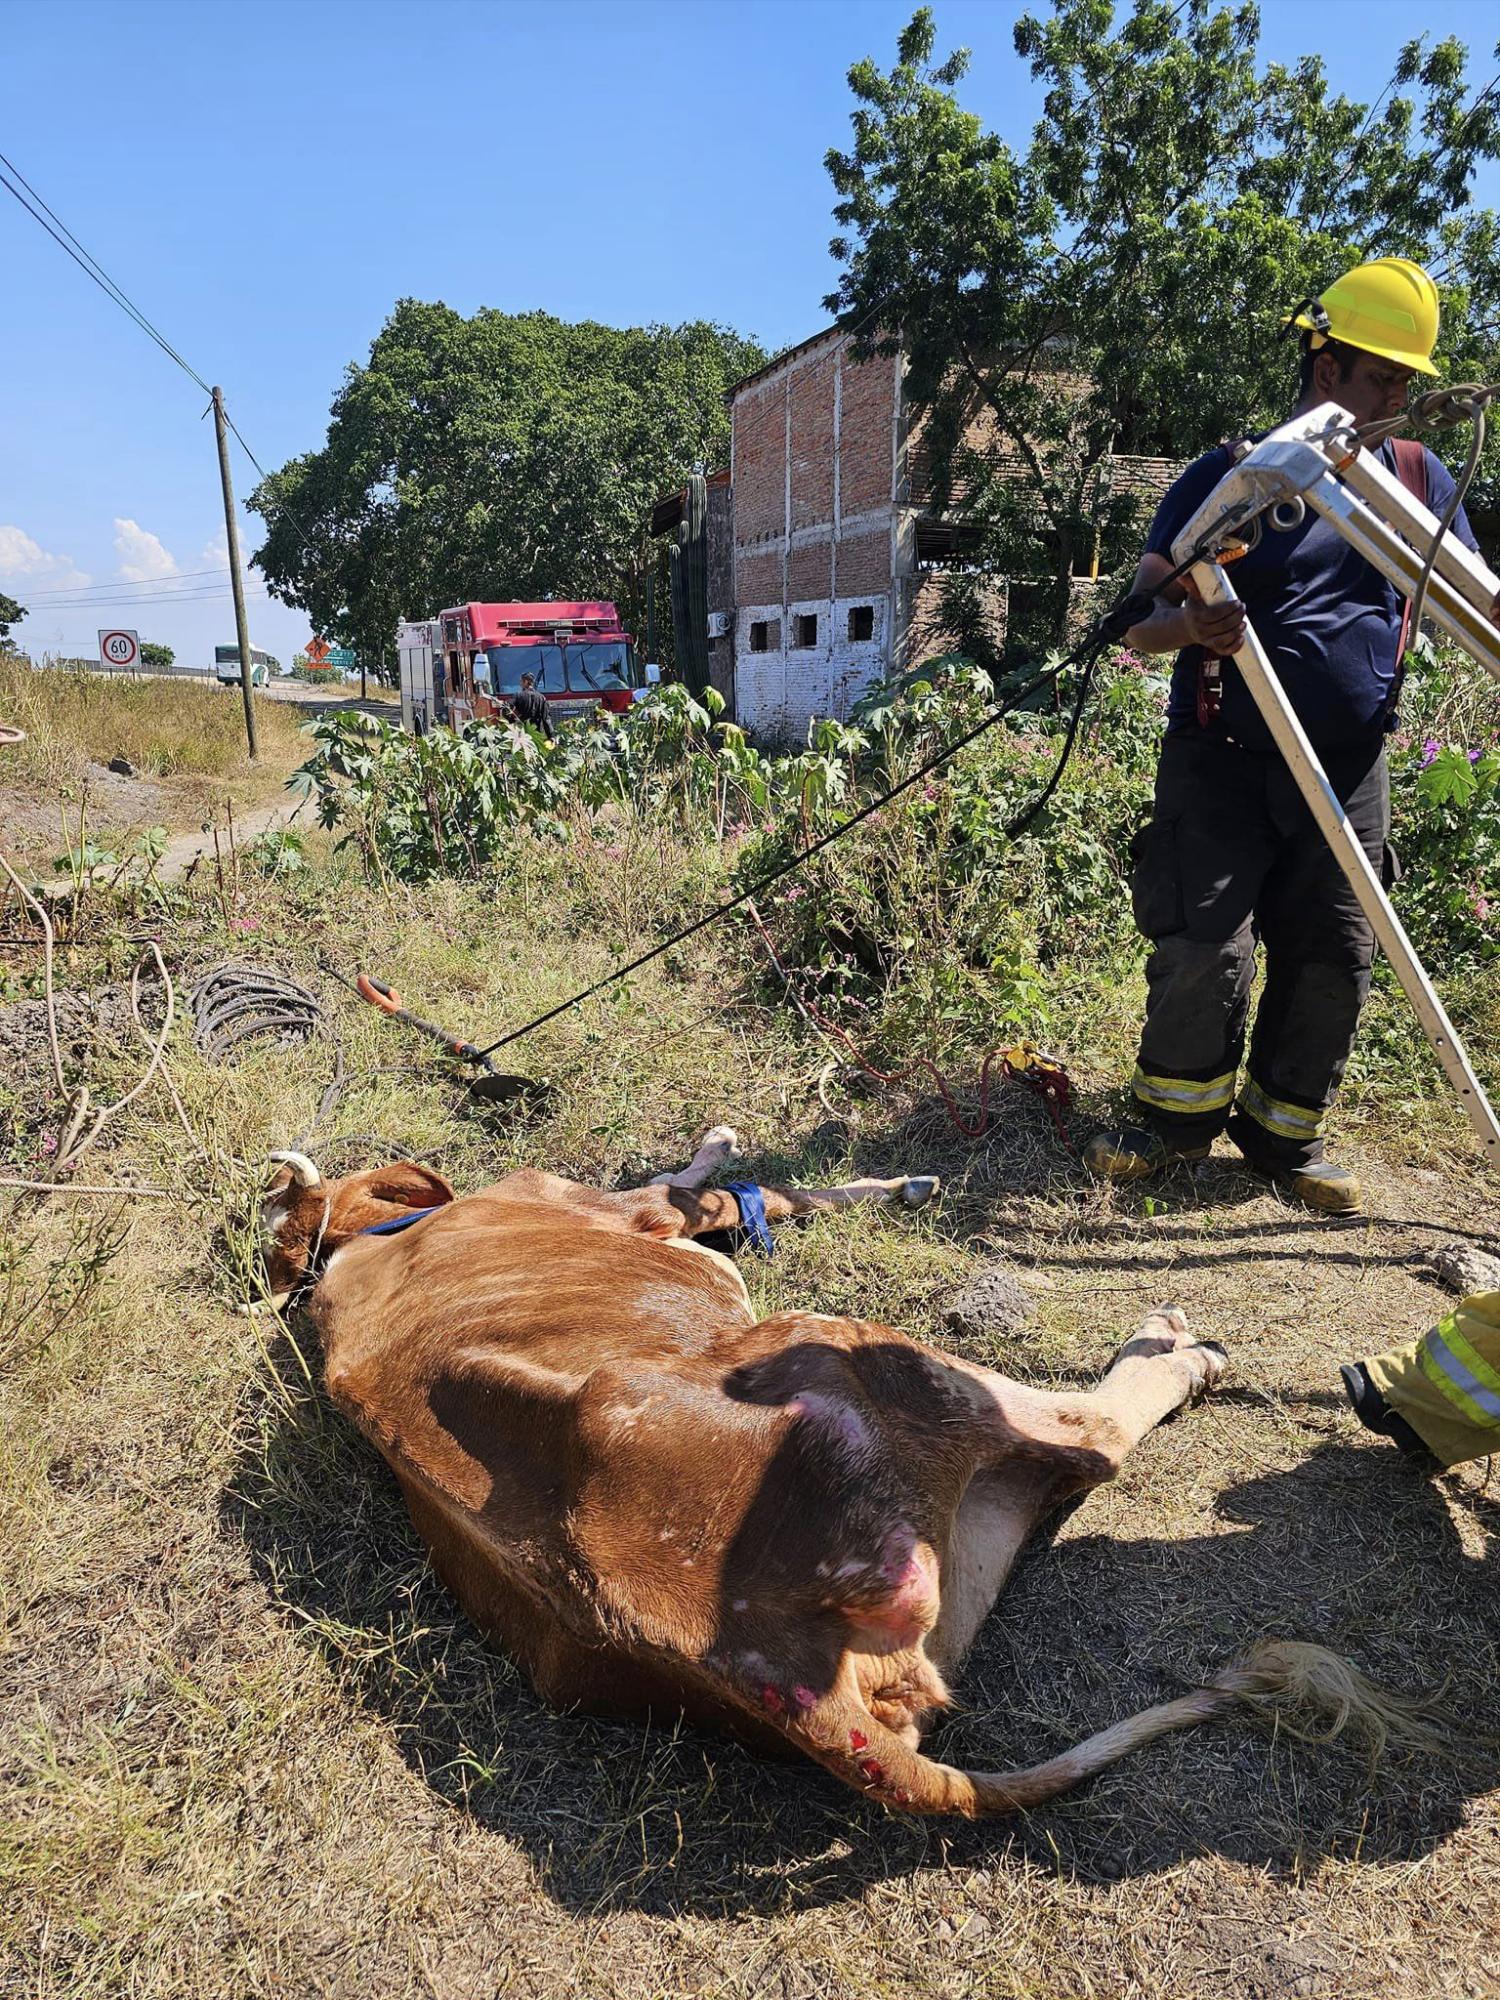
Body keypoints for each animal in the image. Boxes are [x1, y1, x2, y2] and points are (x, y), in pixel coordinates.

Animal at [256, 1128, 1424, 1816]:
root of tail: (764, 1658)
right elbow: (714, 1185)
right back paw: (1174, 1349)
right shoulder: (629, 1208)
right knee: (1091, 1429)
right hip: (865, 1356)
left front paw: (884, 1182)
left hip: (954, 1563)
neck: (361, 1247)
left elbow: (757, 1192)